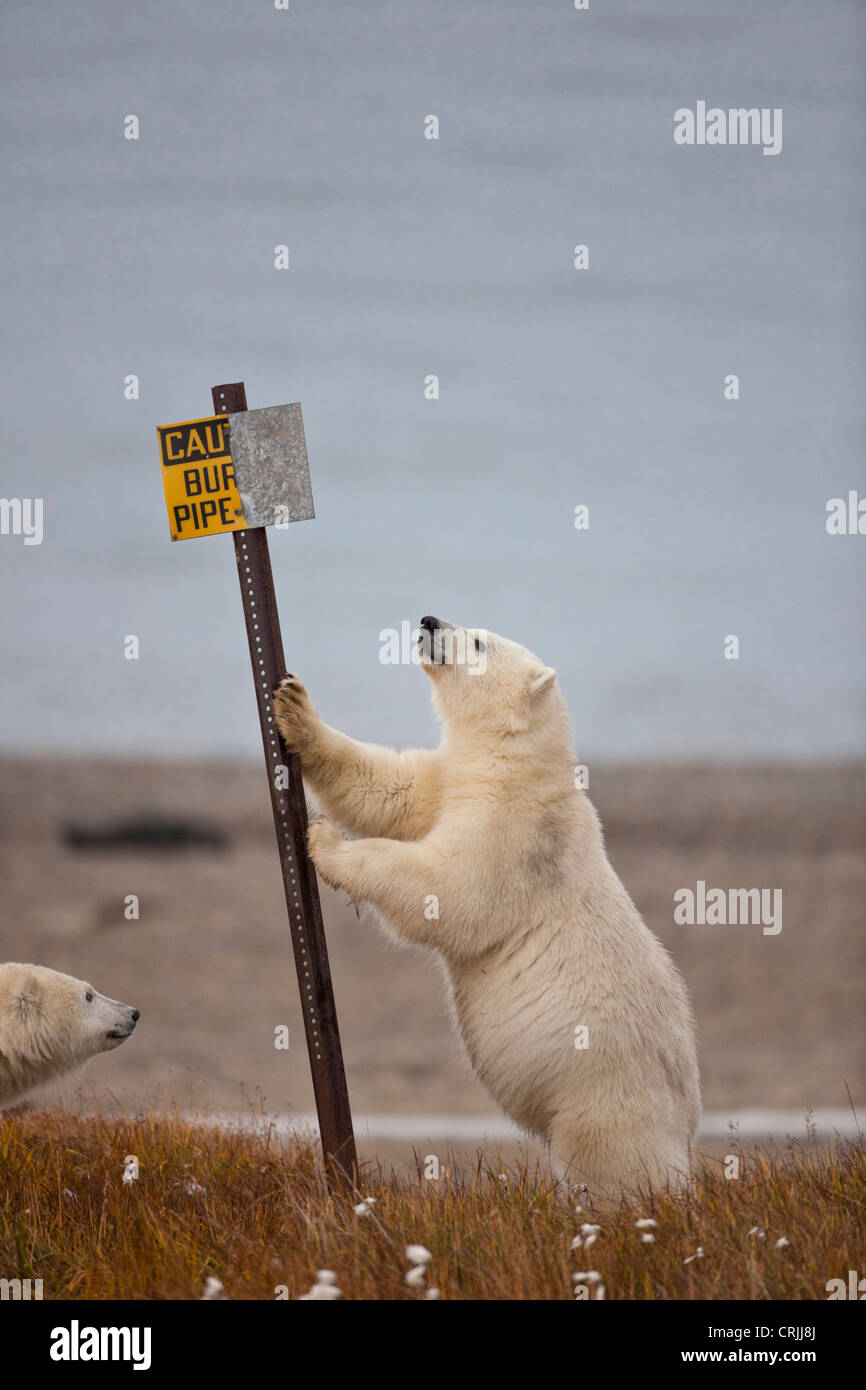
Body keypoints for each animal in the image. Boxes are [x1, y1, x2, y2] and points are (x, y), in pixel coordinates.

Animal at [273, 614, 700, 1200]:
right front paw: (294, 707)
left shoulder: (514, 834)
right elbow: (388, 786)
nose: (429, 619)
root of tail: (685, 1130)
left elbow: (448, 890)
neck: (512, 767)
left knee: (608, 1166)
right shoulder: (447, 782)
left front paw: (327, 843)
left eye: (478, 641)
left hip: (603, 1097)